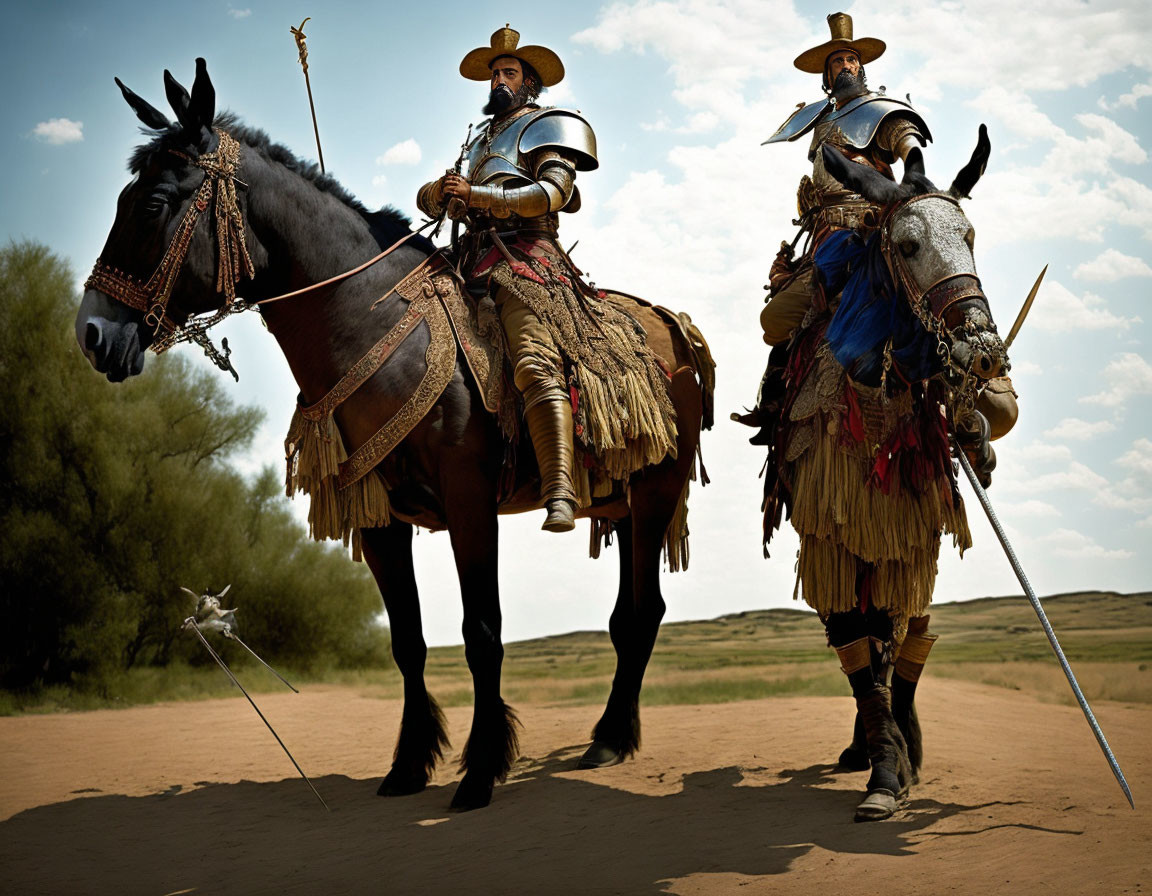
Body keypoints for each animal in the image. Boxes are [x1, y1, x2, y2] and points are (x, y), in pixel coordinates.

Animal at [76, 59, 709, 806]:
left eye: (152, 205)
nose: (92, 333)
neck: (372, 326)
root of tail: (676, 329)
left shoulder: (470, 503)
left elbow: (482, 631)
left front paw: (480, 771)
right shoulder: (378, 517)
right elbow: (407, 641)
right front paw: (409, 766)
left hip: (656, 492)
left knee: (642, 613)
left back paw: (610, 739)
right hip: (620, 501)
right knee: (627, 615)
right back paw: (607, 737)